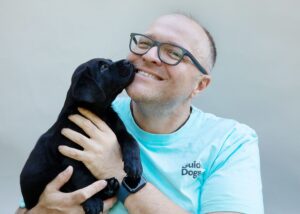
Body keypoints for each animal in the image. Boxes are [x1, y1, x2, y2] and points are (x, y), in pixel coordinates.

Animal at [20, 58, 143, 214]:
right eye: (104, 67)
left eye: (109, 61)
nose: (128, 61)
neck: (101, 112)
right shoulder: (70, 156)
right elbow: (83, 179)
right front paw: (93, 201)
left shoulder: (120, 131)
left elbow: (132, 141)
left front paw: (134, 166)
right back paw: (107, 188)